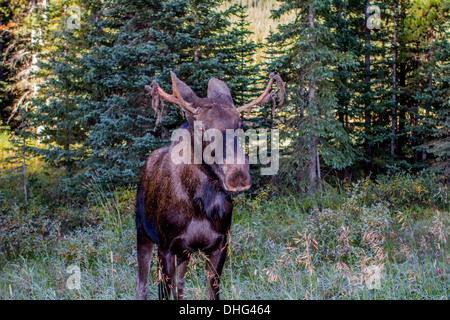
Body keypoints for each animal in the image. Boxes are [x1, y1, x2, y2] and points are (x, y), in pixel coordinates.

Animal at [135, 70, 284, 300]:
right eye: (201, 126)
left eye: (239, 125)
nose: (237, 175)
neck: (201, 206)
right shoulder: (165, 246)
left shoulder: (220, 245)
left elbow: (211, 293)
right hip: (142, 232)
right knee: (141, 286)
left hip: (184, 253)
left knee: (179, 286)